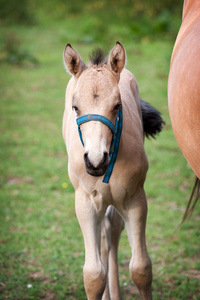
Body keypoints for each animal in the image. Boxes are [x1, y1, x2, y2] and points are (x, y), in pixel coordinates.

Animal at [62, 42, 162, 300]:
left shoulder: (135, 200)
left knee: (112, 231)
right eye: (76, 107)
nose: (96, 161)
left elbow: (141, 268)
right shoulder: (86, 203)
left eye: (117, 106)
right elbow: (93, 274)